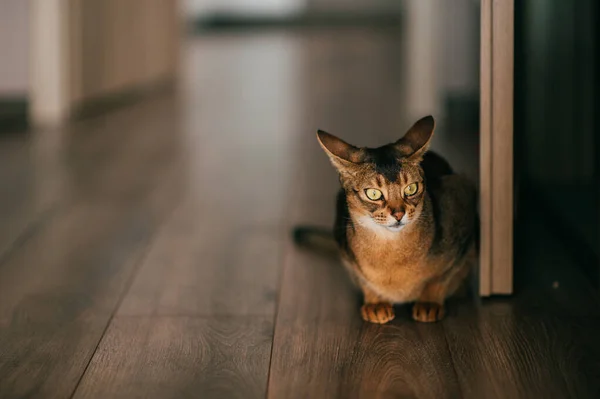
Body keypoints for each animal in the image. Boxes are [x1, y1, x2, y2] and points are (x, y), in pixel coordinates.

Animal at [296, 115, 478, 324]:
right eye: (373, 194)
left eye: (411, 189)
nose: (398, 214)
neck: (391, 250)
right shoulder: (346, 252)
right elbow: (364, 280)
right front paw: (376, 303)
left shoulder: (462, 206)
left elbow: (440, 278)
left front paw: (429, 302)